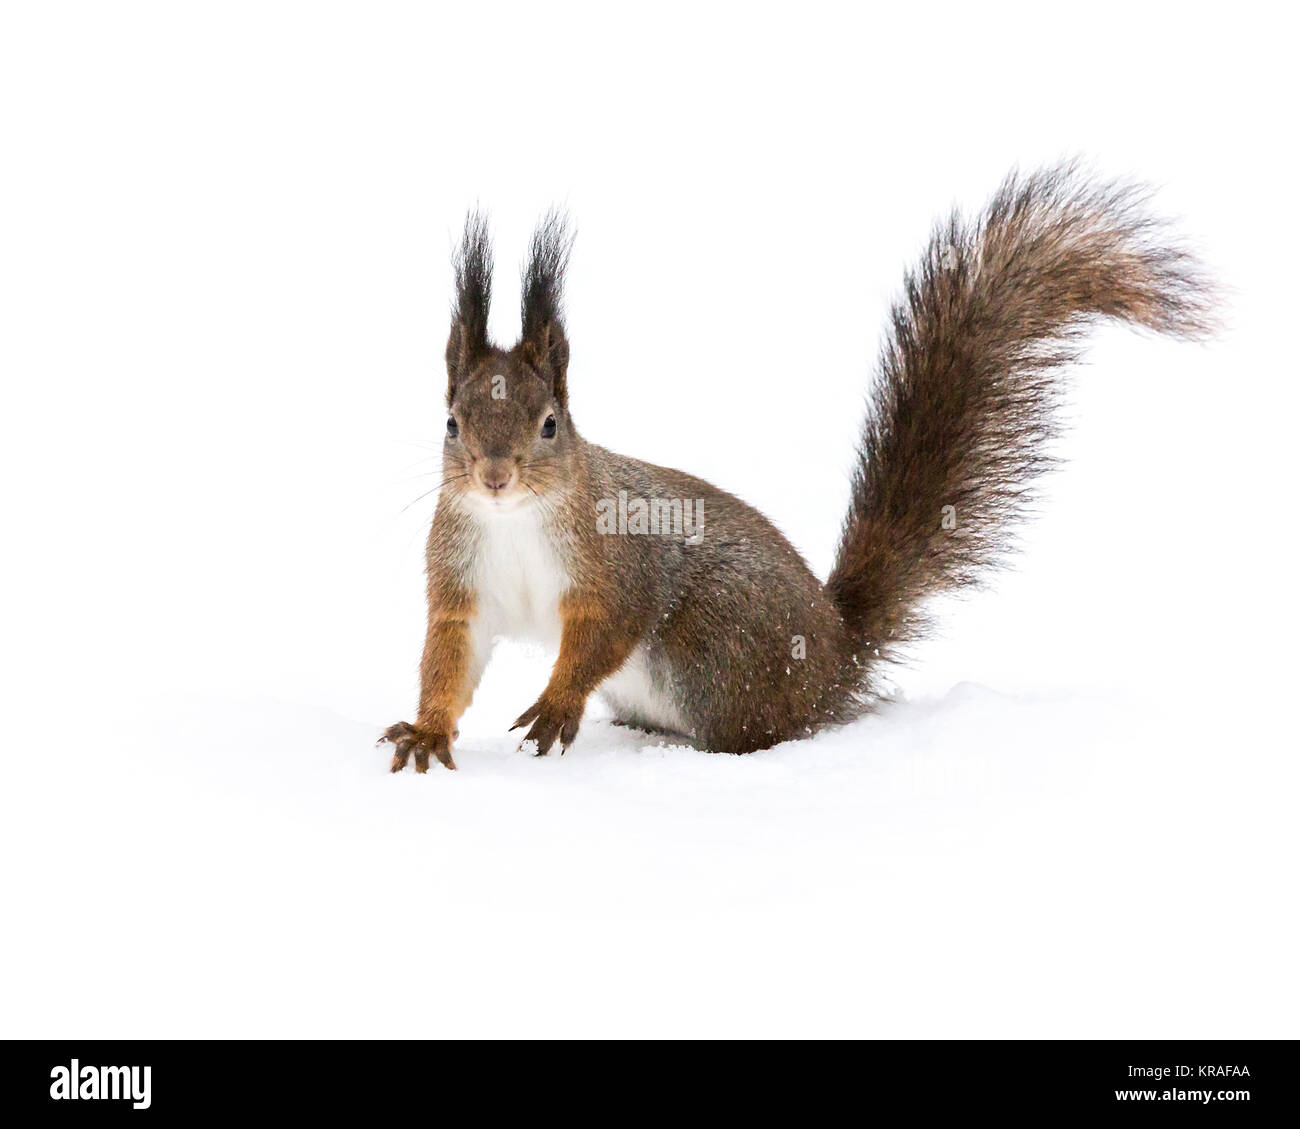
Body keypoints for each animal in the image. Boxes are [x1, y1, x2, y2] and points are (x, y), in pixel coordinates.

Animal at [384, 163, 1215, 772]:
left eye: (550, 424)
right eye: (452, 423)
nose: (495, 476)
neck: (514, 523)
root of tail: (838, 655)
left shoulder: (616, 564)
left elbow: (602, 631)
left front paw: (557, 704)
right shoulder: (461, 585)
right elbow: (450, 658)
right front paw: (427, 731)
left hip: (717, 648)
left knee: (764, 728)